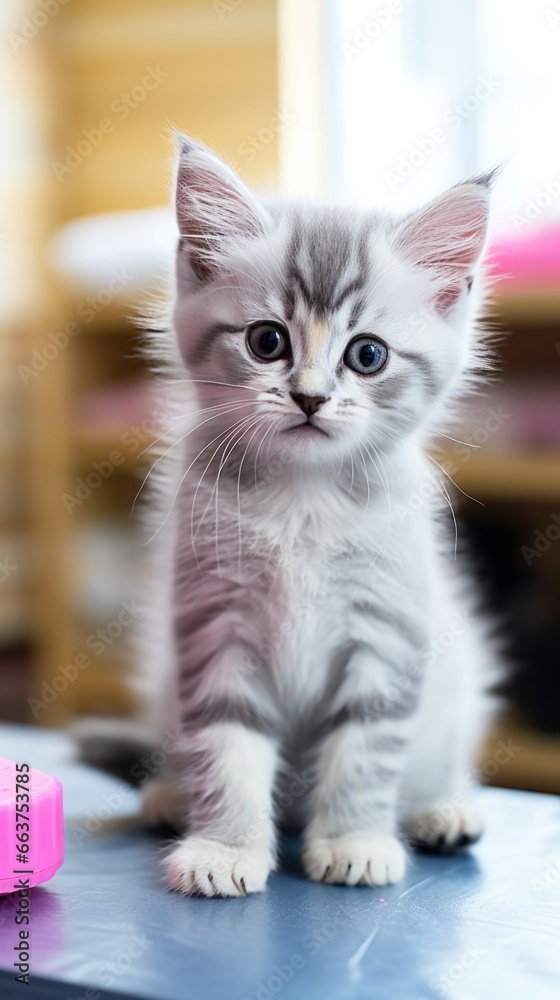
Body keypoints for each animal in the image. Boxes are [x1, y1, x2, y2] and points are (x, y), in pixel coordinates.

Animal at [140, 135, 498, 900]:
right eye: (267, 342)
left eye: (368, 355)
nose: (309, 398)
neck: (303, 498)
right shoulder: (215, 623)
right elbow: (225, 748)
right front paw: (225, 848)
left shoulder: (388, 628)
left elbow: (366, 749)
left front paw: (355, 841)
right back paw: (168, 796)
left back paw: (443, 810)